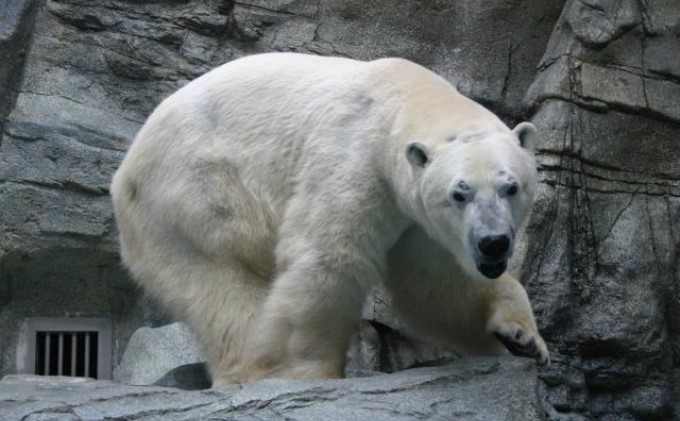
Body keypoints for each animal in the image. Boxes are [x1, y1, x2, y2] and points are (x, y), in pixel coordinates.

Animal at [110, 51, 548, 384]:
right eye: (459, 193)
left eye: (511, 187)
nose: (493, 242)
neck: (399, 99)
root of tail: (123, 174)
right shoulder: (354, 160)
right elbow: (329, 258)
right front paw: (307, 371)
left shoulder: (417, 217)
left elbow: (432, 283)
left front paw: (522, 337)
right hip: (192, 194)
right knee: (222, 283)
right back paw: (257, 370)